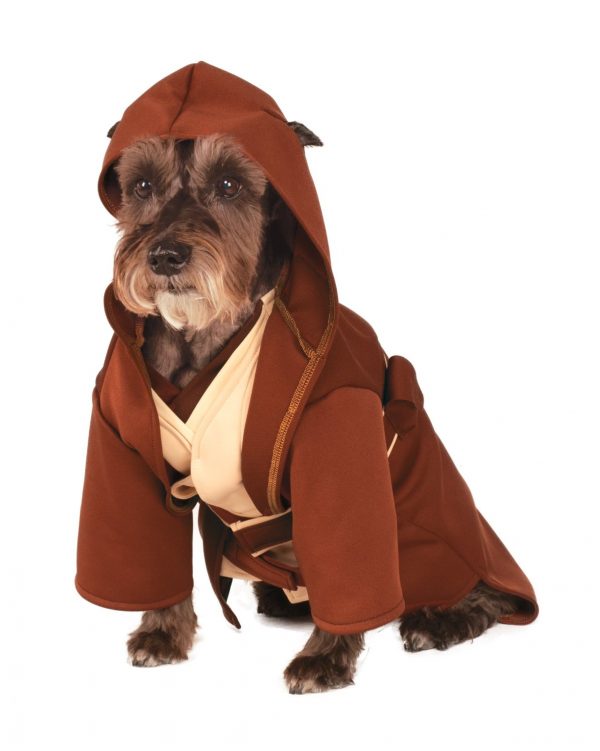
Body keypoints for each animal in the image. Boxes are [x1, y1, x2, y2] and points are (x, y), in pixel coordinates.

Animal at [110, 130, 523, 693]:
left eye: (229, 184)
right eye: (142, 185)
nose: (166, 256)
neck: (204, 331)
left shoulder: (339, 436)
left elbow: (347, 562)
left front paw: (325, 658)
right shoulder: (122, 440)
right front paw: (163, 633)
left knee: (485, 594)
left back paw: (440, 617)